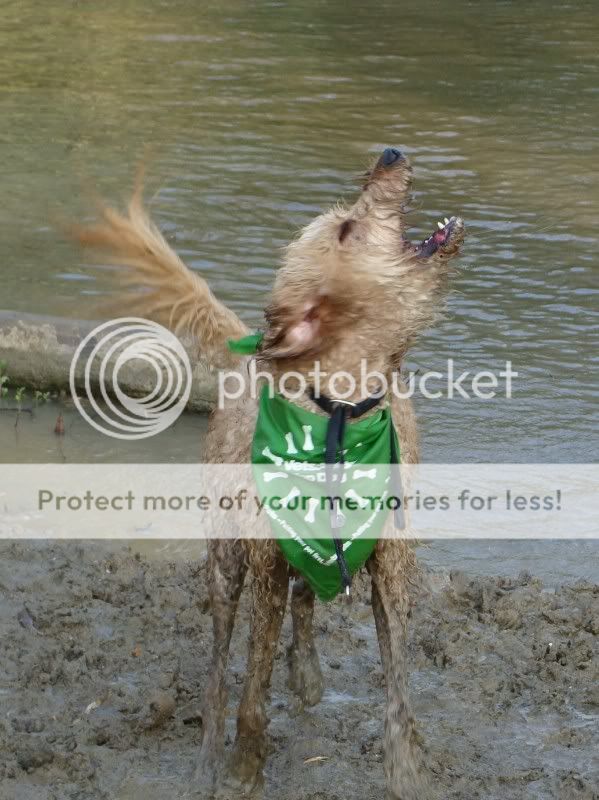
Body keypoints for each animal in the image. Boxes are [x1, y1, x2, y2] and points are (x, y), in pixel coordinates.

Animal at [75, 147, 466, 796]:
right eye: (346, 229)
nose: (388, 154)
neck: (337, 411)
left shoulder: (391, 565)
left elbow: (398, 686)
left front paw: (407, 769)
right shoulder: (264, 567)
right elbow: (250, 690)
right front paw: (241, 769)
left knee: (305, 600)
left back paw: (306, 675)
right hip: (225, 562)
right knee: (219, 663)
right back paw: (209, 754)